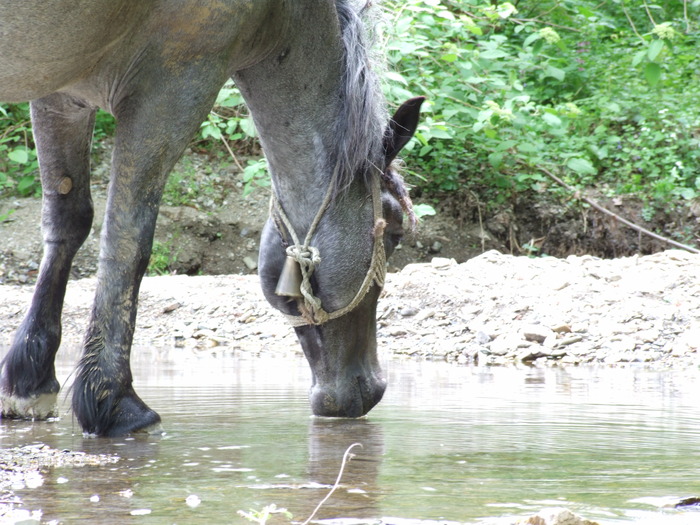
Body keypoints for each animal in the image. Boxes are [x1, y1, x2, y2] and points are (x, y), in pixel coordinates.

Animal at [0, 0, 422, 436]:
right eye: (393, 231)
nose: (372, 387)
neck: (281, 14)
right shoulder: (172, 88)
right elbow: (128, 239)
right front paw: (114, 400)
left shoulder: (59, 92)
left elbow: (68, 221)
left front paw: (31, 378)